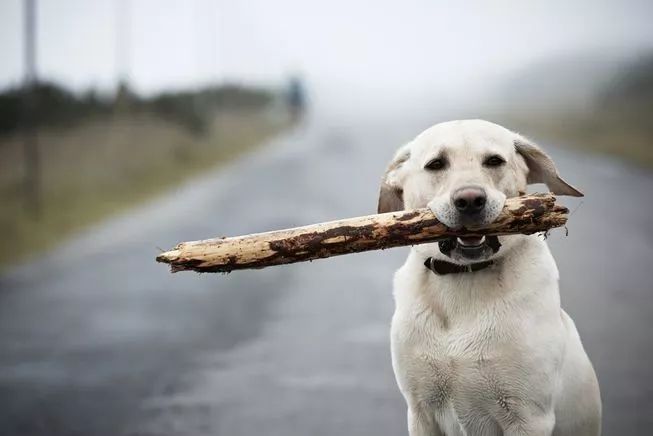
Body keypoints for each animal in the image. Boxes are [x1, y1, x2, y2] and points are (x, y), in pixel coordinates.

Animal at [382, 120, 600, 436]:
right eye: (436, 164)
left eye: (494, 161)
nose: (470, 200)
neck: (464, 278)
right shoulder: (421, 411)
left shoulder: (528, 418)